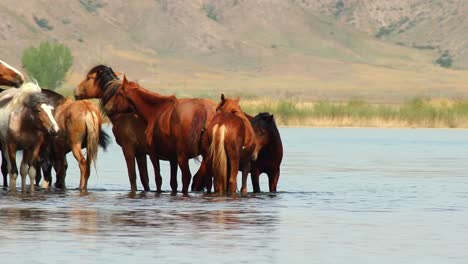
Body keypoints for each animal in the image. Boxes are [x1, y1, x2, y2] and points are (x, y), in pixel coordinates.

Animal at [75, 65, 216, 194]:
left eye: (89, 77)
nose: (75, 92)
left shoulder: (130, 149)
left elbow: (134, 177)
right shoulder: (143, 153)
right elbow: (146, 179)